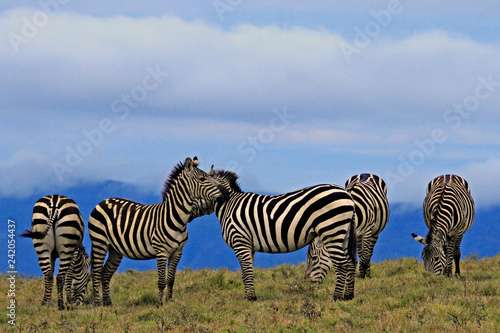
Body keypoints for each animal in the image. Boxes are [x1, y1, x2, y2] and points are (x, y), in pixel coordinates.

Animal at [88, 156, 227, 306]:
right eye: (202, 179)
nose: (225, 192)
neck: (176, 219)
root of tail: (103, 201)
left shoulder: (177, 252)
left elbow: (171, 279)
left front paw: (169, 301)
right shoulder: (161, 252)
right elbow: (161, 281)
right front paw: (160, 304)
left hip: (115, 249)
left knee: (106, 273)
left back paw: (108, 303)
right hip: (99, 242)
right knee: (96, 273)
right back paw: (97, 304)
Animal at [209, 169, 358, 300]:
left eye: (314, 258)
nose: (309, 281)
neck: (230, 205)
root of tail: (348, 196)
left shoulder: (240, 240)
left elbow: (246, 272)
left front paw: (250, 298)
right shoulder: (247, 244)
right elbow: (248, 271)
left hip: (332, 230)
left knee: (342, 264)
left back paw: (337, 297)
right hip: (344, 234)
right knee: (351, 262)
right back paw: (348, 296)